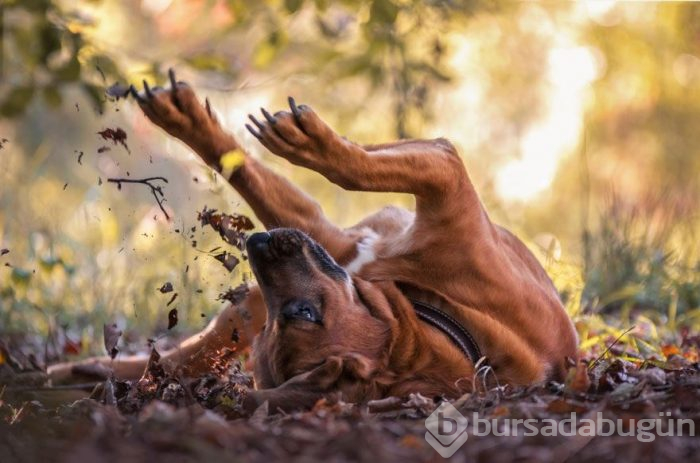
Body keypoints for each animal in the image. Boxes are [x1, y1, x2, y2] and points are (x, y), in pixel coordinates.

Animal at [46, 70, 576, 412]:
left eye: (303, 315)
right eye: (276, 327)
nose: (258, 247)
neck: (447, 315)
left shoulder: (443, 178)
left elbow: (356, 167)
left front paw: (312, 142)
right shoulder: (336, 237)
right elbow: (243, 165)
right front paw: (189, 119)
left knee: (184, 356)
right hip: (247, 303)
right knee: (183, 354)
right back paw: (88, 371)